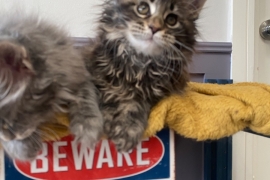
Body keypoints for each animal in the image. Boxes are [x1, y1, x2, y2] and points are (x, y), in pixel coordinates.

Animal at [0, 13, 103, 160]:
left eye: (15, 117)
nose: (9, 137)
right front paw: (22, 149)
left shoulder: (78, 72)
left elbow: (84, 96)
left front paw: (87, 126)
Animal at [84, 0, 207, 152]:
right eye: (142, 8)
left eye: (172, 20)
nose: (155, 27)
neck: (140, 64)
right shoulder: (96, 74)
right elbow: (105, 96)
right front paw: (107, 119)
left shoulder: (159, 93)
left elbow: (135, 105)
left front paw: (126, 131)